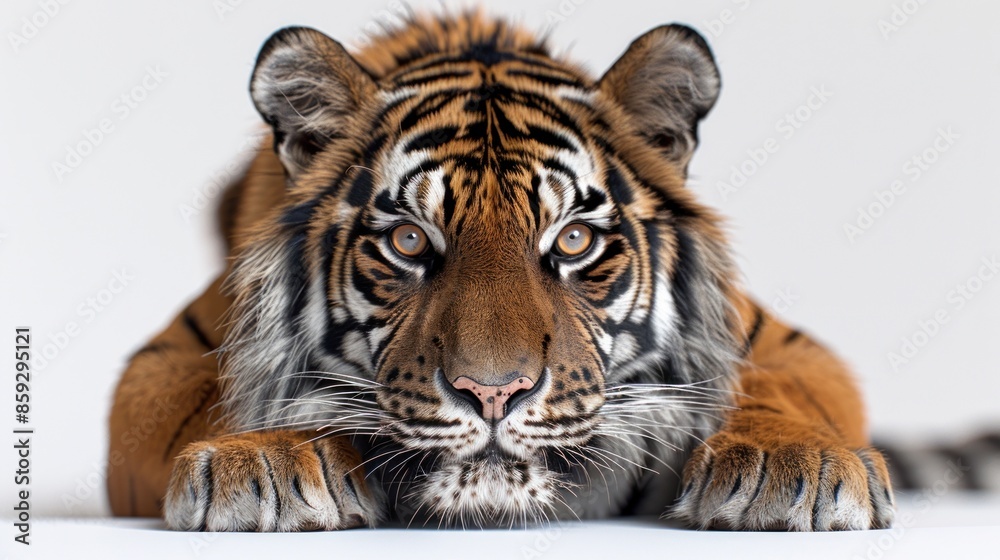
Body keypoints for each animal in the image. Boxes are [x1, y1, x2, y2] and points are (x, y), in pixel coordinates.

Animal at [107, 12, 896, 532]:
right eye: (408, 241)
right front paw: (268, 456)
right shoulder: (165, 358)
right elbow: (226, 394)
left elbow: (782, 393)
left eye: (573, 240)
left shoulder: (789, 347)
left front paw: (792, 465)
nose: (493, 394)